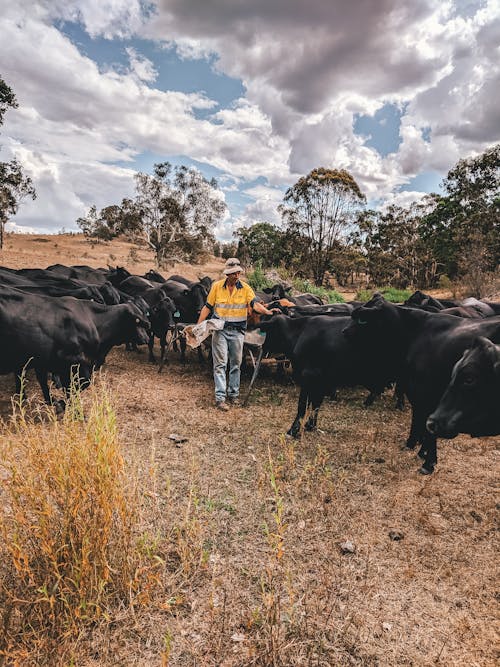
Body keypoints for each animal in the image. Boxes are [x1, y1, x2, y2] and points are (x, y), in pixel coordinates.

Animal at [342, 298, 500, 474]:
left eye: (362, 320)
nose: (344, 331)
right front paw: (421, 450)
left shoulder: (422, 390)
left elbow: (422, 420)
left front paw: (425, 458)